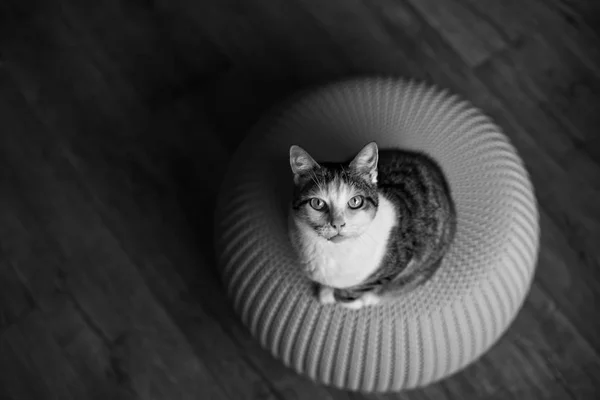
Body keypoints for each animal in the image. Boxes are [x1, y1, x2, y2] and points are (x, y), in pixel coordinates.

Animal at [288, 141, 458, 310]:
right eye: (317, 203)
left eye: (355, 201)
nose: (337, 224)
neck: (333, 252)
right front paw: (327, 291)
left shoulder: (397, 264)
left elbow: (353, 290)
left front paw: (343, 298)